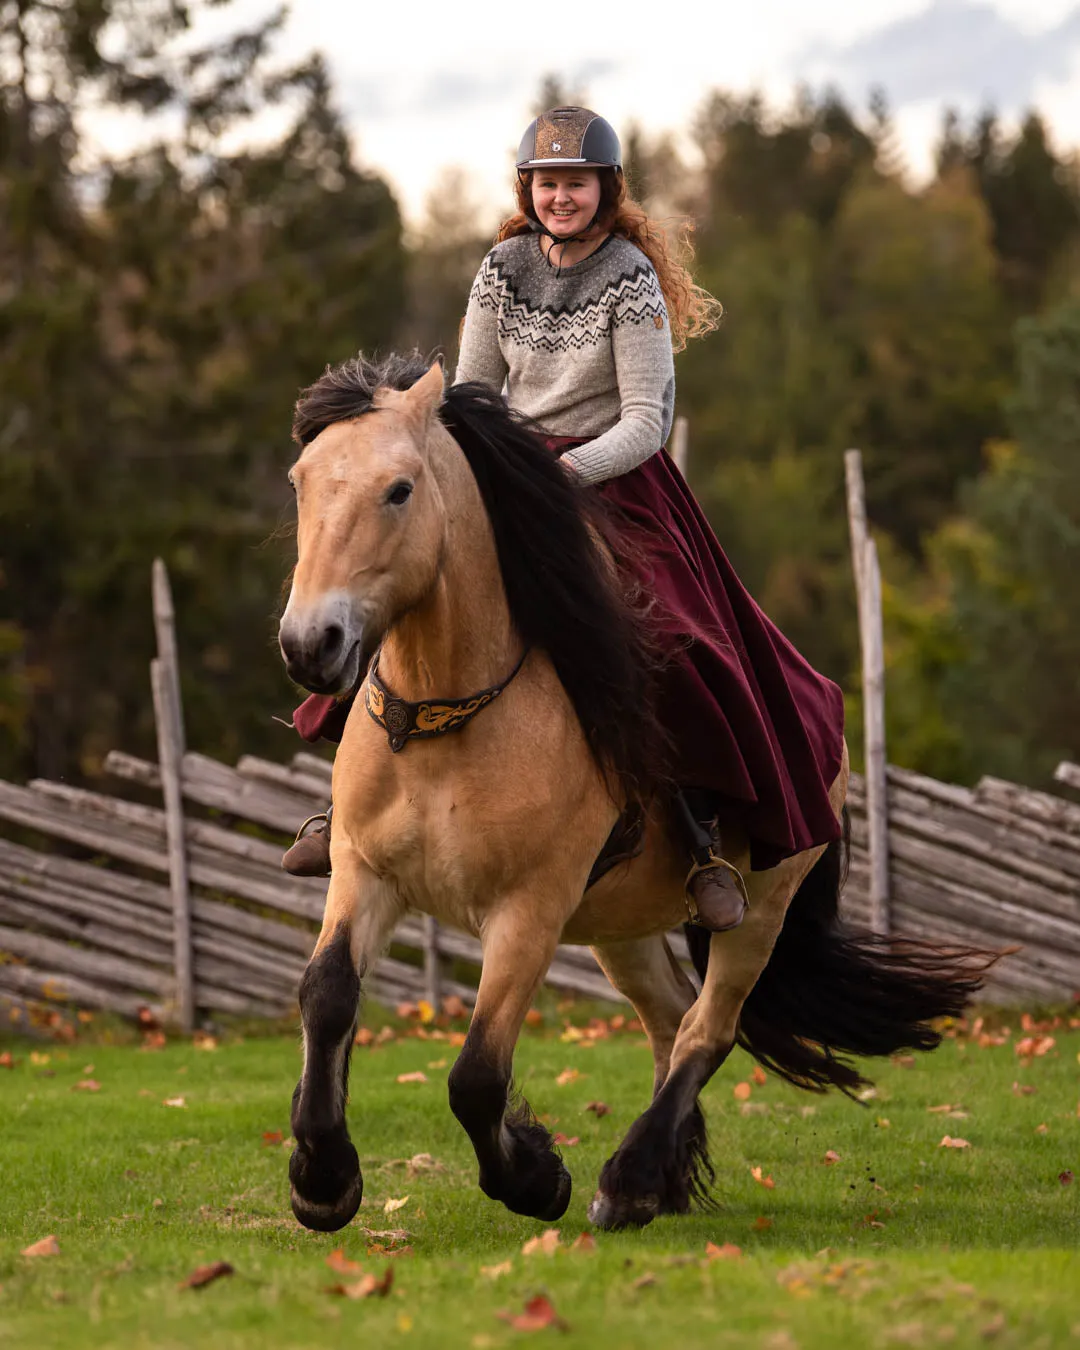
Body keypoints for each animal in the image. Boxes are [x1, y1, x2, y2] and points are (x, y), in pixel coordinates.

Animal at [276, 351, 993, 1236]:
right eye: (302, 482)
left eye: (400, 489)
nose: (311, 644)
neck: (447, 718)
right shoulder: (363, 872)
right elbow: (327, 997)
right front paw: (322, 1180)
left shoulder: (529, 911)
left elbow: (476, 1075)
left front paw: (536, 1179)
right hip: (620, 928)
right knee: (669, 1016)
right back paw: (664, 1181)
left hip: (760, 910)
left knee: (707, 1029)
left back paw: (628, 1181)